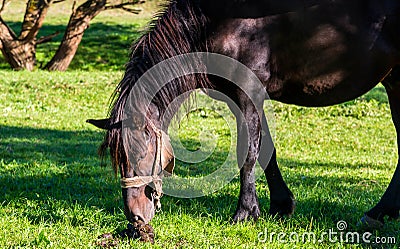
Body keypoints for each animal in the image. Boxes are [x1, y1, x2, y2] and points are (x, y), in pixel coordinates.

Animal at [89, 0, 400, 241]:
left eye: (141, 153)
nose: (136, 218)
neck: (214, 22)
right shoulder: (240, 99)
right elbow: (266, 152)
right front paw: (280, 206)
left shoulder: (248, 94)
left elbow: (248, 154)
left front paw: (245, 212)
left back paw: (379, 212)